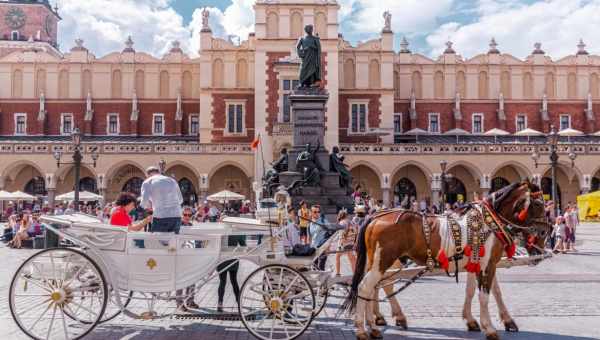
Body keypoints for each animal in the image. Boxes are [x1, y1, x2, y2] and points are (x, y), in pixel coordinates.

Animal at [346, 181, 548, 340]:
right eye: (538, 203)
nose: (545, 232)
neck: (488, 222)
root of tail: (374, 217)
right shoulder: (487, 265)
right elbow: (485, 295)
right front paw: (490, 328)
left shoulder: (476, 263)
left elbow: (477, 291)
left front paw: (474, 321)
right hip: (383, 260)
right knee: (366, 286)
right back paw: (363, 329)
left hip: (377, 261)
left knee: (374, 287)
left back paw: (374, 326)